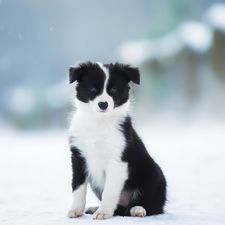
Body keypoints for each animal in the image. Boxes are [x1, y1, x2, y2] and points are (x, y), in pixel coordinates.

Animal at [67, 61, 166, 220]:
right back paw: (95, 208)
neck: (99, 122)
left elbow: (109, 191)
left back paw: (138, 209)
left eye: (113, 89)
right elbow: (78, 186)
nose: (103, 104)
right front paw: (76, 209)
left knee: (152, 207)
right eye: (93, 89)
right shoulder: (78, 157)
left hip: (156, 176)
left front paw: (103, 212)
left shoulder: (117, 161)